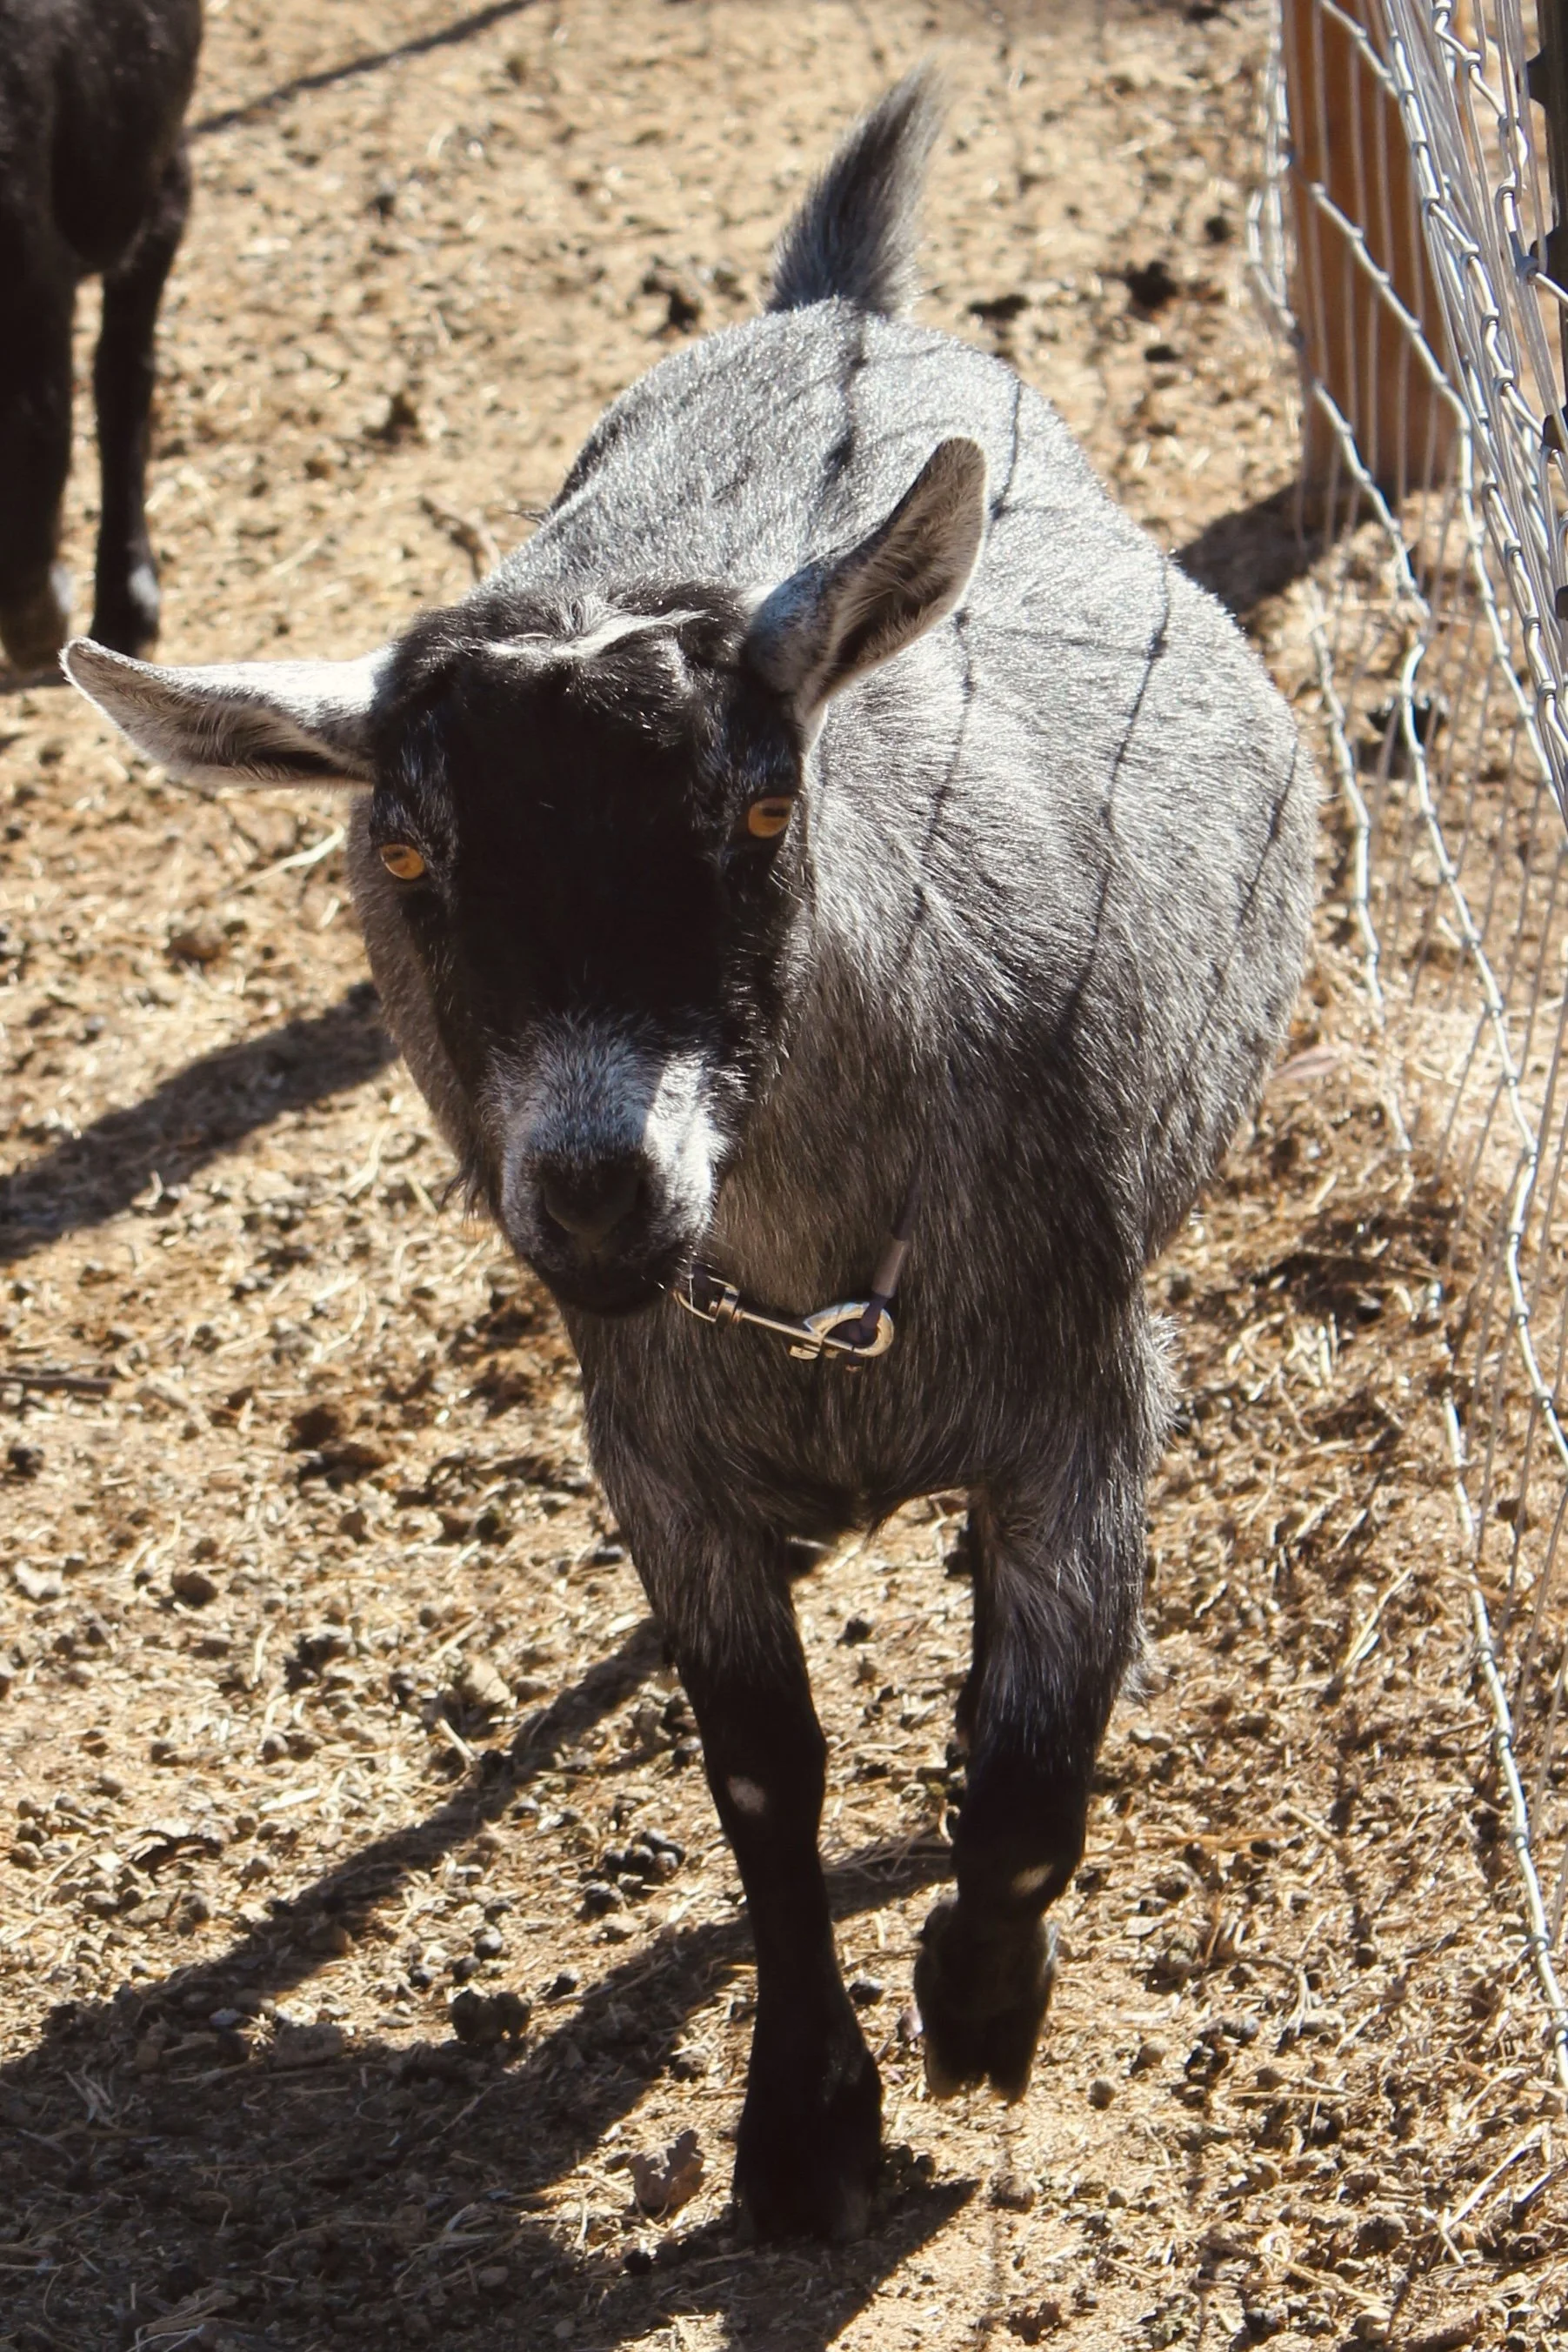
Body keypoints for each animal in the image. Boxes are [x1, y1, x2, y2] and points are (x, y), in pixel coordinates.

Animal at [64, 71, 1316, 2241]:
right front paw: (803, 2121)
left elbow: (1029, 1757)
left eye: (754, 808)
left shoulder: (1093, 1398)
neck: (816, 1292)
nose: (591, 1189)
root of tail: (831, 305)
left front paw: (977, 2004)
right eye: (411, 853)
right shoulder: (656, 1456)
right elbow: (761, 1776)